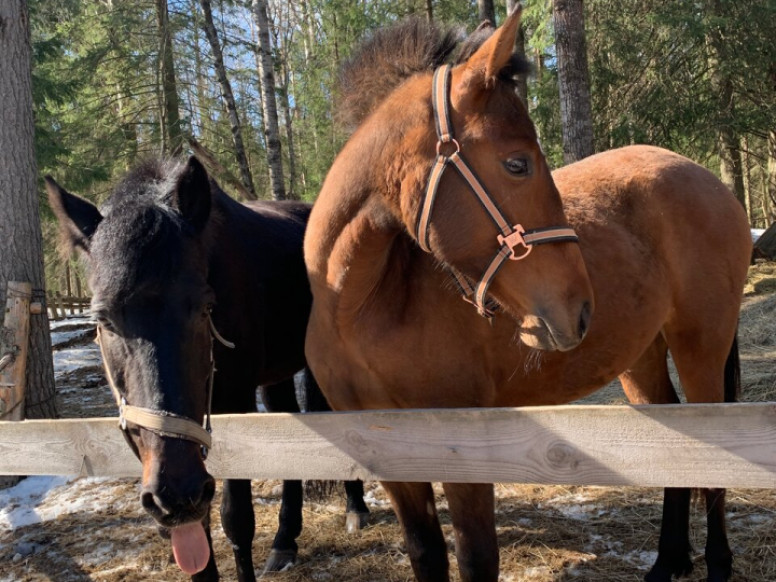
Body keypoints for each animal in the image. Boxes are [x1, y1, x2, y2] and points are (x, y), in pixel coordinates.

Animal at [47, 157, 368, 580]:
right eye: (103, 320)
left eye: (203, 308)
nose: (176, 493)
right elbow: (197, 535)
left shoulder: (235, 405)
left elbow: (237, 521)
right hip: (276, 377)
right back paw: (284, 540)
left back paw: (356, 508)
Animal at [304, 8, 752, 582]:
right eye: (517, 163)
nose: (578, 308)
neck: (357, 309)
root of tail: (709, 179)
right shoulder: (393, 462)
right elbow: (426, 554)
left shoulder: (464, 457)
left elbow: (477, 560)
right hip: (641, 357)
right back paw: (665, 562)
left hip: (701, 349)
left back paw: (716, 563)